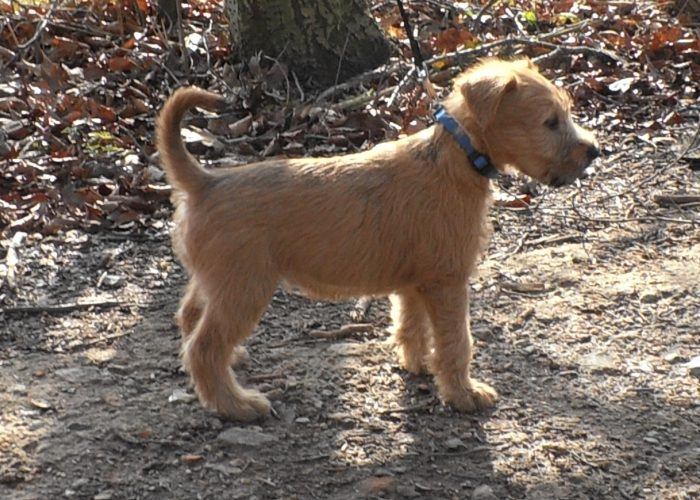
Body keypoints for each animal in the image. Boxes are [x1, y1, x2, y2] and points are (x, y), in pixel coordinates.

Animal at [156, 60, 600, 424]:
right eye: (550, 122)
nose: (594, 151)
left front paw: (418, 364)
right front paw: (463, 394)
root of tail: (206, 182)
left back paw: (229, 365)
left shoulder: (416, 282)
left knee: (191, 317)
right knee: (204, 347)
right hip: (244, 288)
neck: (454, 157)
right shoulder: (448, 281)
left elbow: (411, 325)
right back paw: (236, 404)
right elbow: (457, 342)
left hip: (219, 282)